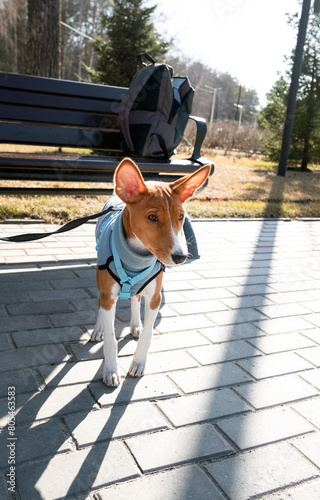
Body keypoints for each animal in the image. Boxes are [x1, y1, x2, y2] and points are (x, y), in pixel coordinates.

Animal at [90, 157, 210, 386]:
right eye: (152, 217)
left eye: (181, 217)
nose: (181, 256)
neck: (136, 258)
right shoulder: (108, 294)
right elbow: (111, 338)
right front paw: (110, 370)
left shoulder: (155, 298)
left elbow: (147, 335)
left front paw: (138, 363)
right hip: (101, 283)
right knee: (101, 305)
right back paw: (98, 328)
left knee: (135, 299)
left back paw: (135, 324)